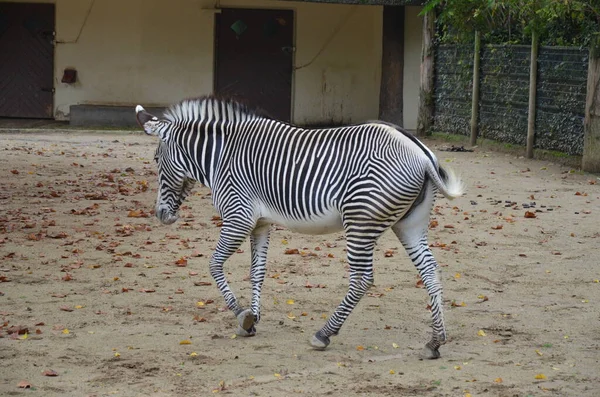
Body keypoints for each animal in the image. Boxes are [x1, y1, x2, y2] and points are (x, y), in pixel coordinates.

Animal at [136, 94, 464, 358]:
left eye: (156, 159)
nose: (160, 214)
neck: (221, 156)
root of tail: (420, 152)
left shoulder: (238, 216)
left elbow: (214, 265)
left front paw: (242, 315)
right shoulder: (261, 223)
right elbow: (257, 272)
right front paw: (254, 320)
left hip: (360, 221)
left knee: (362, 279)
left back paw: (324, 334)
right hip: (410, 224)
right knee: (430, 271)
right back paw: (434, 342)